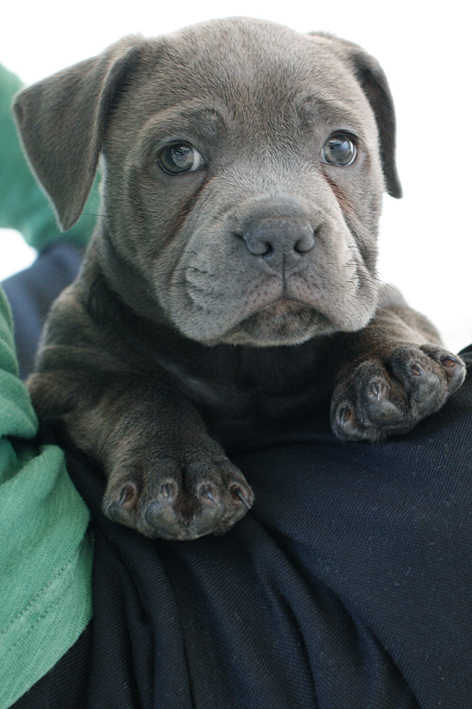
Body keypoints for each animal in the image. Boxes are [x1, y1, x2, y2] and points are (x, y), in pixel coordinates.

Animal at [13, 16, 464, 540]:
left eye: (340, 147)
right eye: (178, 157)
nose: (282, 232)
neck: (248, 359)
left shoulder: (381, 293)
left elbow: (378, 316)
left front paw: (389, 362)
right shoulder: (65, 376)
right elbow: (133, 390)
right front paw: (175, 463)